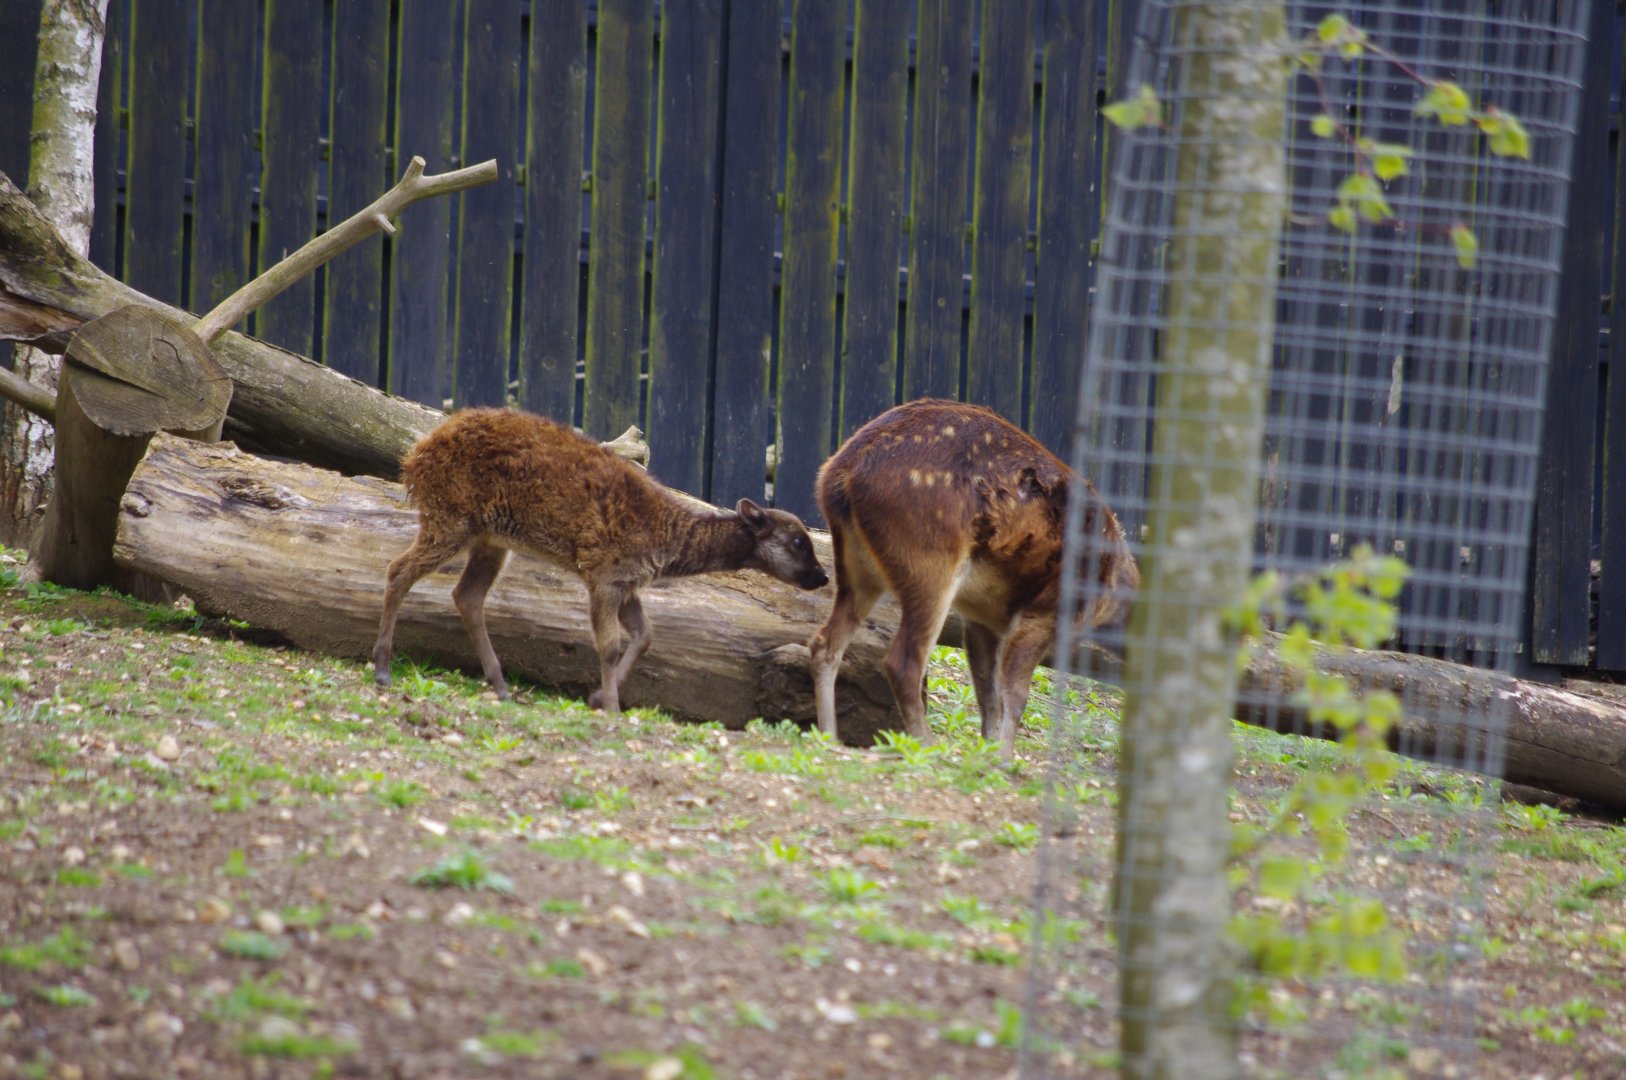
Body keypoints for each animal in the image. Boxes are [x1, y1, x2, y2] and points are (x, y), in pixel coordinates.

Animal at [372, 408, 829, 717]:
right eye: (798, 541)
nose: (823, 576)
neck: (665, 534)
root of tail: (415, 456)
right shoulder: (604, 576)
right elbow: (609, 646)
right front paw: (611, 708)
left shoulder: (627, 583)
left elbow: (645, 636)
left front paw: (596, 697)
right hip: (450, 521)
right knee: (398, 570)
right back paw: (382, 669)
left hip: (490, 540)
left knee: (466, 595)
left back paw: (499, 685)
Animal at [809, 398, 1139, 760]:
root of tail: (838, 474)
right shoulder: (1044, 614)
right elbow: (1015, 695)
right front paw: (1005, 759)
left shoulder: (983, 619)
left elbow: (987, 694)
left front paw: (988, 750)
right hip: (930, 562)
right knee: (903, 662)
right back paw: (928, 746)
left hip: (857, 568)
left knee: (825, 642)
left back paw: (829, 735)